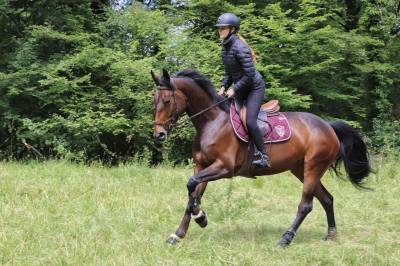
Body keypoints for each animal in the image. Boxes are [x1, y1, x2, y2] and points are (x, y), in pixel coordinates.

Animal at [151, 68, 372, 247]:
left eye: (167, 101)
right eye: (154, 101)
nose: (159, 135)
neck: (212, 122)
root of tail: (328, 126)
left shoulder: (223, 168)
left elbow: (191, 187)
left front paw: (201, 218)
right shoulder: (202, 166)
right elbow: (192, 195)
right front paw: (181, 232)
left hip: (313, 168)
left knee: (306, 205)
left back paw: (286, 239)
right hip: (301, 169)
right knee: (327, 198)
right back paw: (331, 234)